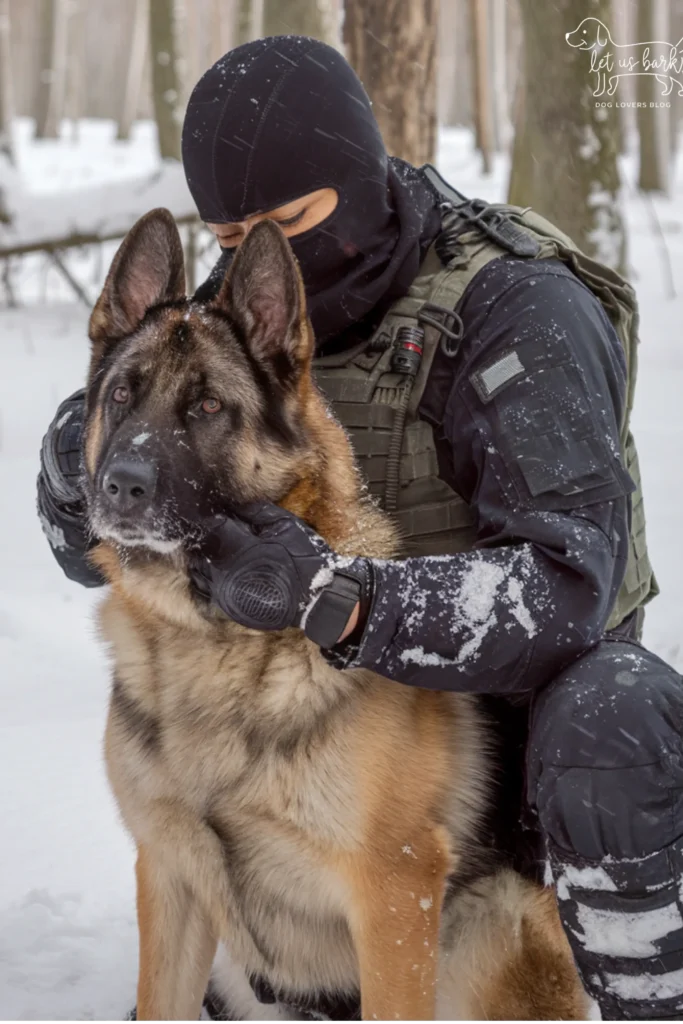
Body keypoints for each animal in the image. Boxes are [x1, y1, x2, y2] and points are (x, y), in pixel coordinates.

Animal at [81, 209, 589, 1024]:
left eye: (208, 408)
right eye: (122, 395)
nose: (119, 487)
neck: (209, 644)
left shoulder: (393, 897)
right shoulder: (170, 877)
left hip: (484, 930)